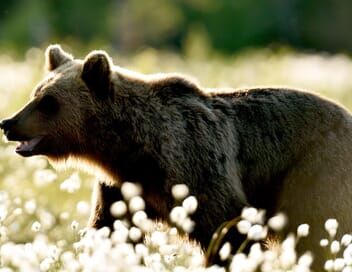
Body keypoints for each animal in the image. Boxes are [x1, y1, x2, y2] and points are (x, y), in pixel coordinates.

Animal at [0, 44, 352, 268]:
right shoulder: (123, 187)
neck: (130, 147)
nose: (8, 123)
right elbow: (110, 229)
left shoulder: (194, 167)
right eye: (36, 93)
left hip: (315, 170)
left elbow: (229, 229)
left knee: (320, 230)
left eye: (48, 102)